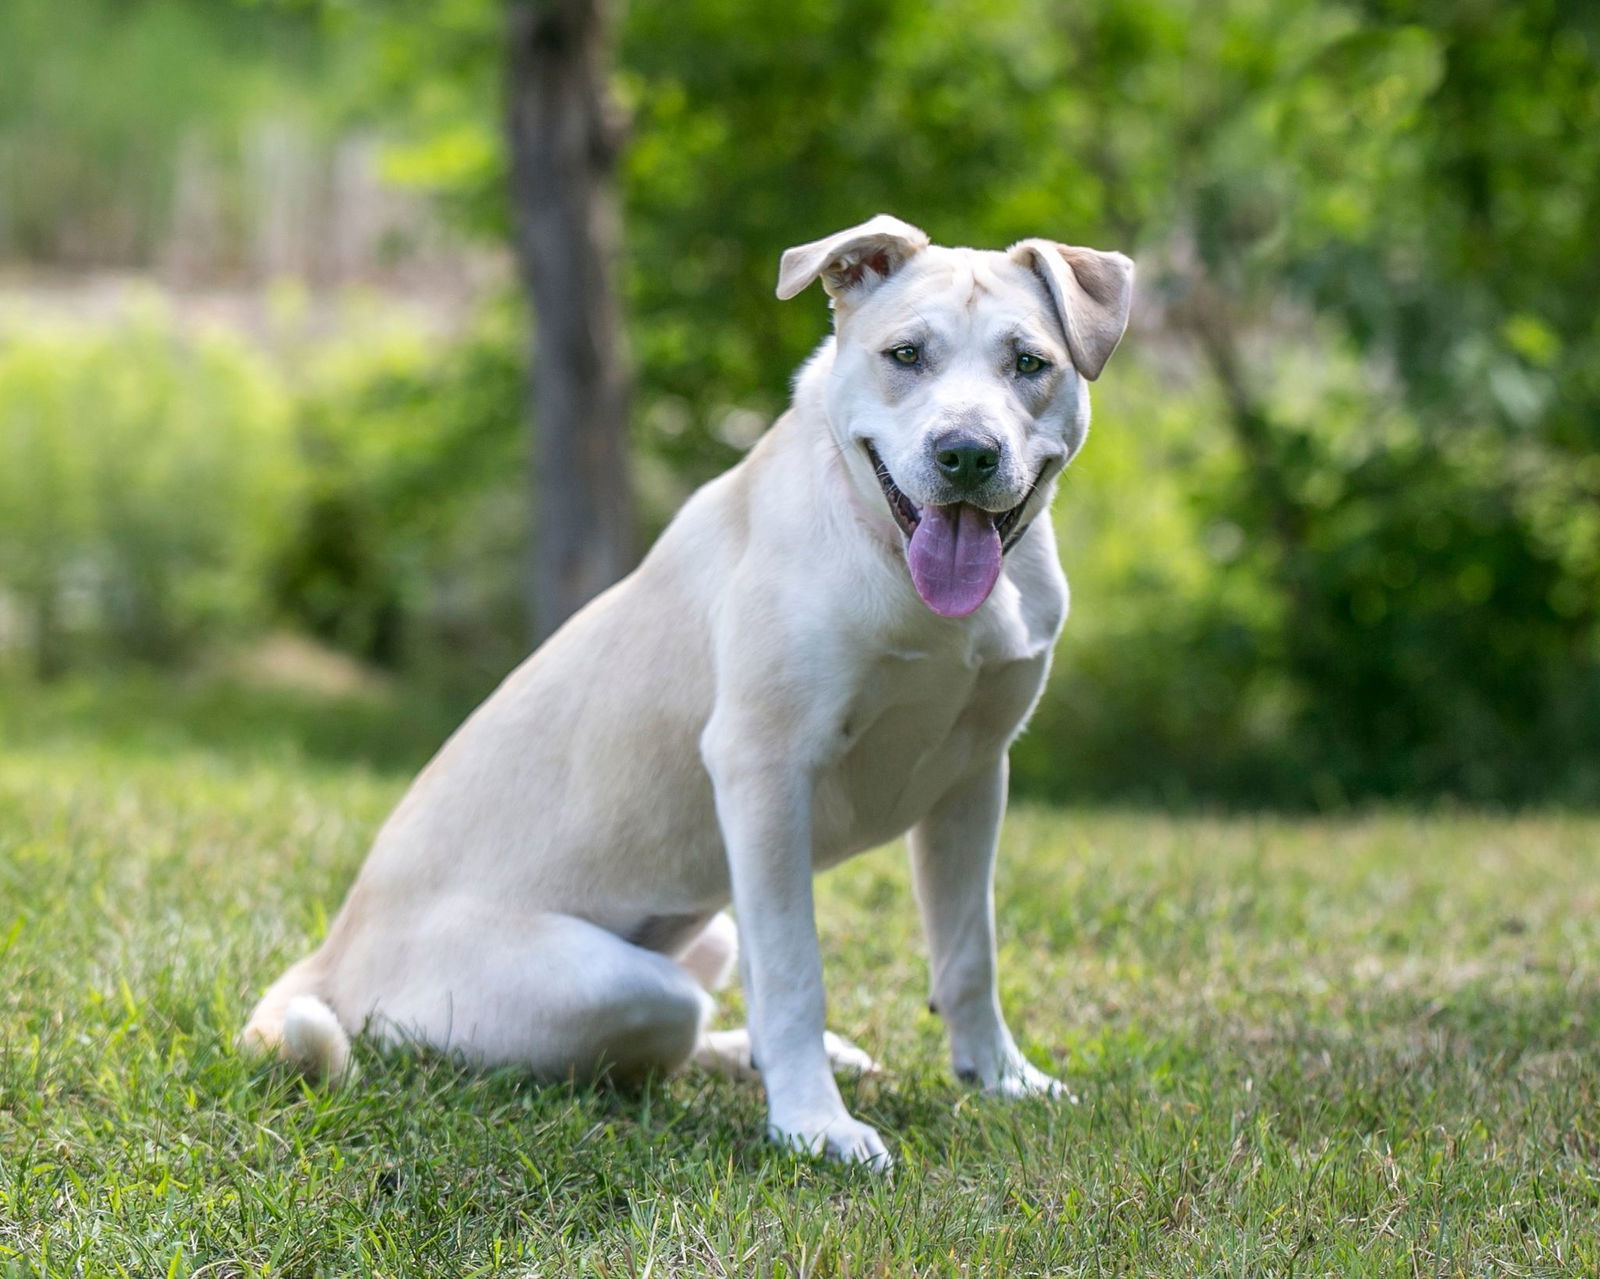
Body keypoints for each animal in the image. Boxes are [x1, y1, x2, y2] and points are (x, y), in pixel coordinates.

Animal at [240, 217, 1139, 1171]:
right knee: (670, 1032)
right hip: (617, 986)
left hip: (709, 931)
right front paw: (813, 1126)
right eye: (906, 354)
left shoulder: (974, 774)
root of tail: (329, 960)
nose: (965, 453)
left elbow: (971, 954)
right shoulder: (764, 771)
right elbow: (794, 973)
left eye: (1030, 363)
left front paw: (1002, 1079)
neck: (887, 550)